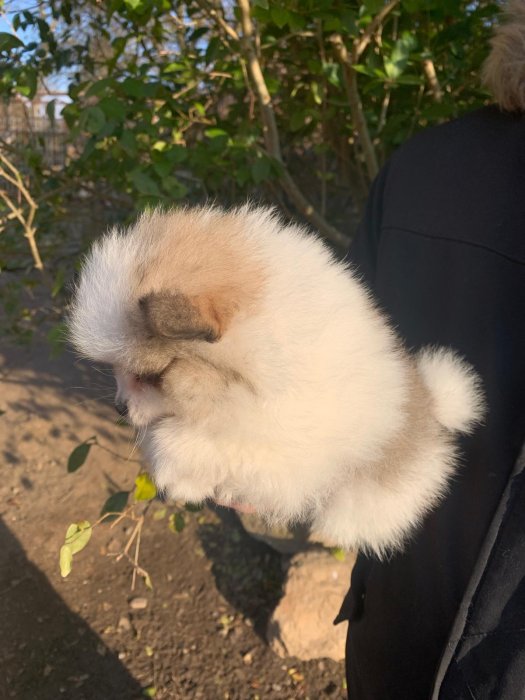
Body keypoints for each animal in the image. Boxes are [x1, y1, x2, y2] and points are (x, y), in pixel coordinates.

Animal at [69, 205, 484, 556]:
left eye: (150, 376)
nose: (119, 407)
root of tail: (431, 404)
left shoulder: (281, 446)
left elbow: (192, 444)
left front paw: (172, 460)